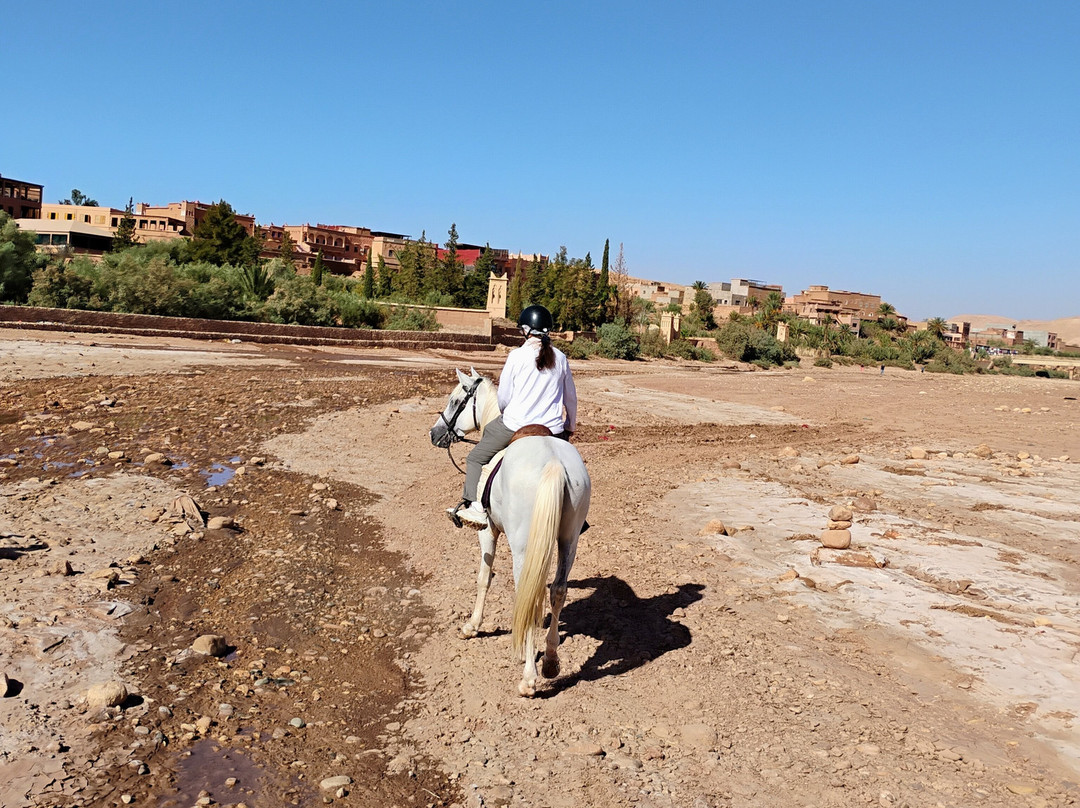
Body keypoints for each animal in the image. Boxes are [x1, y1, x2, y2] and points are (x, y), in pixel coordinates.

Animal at [429, 368, 591, 697]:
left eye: (455, 400)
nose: (434, 433)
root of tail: (554, 463)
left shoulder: (488, 531)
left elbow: (484, 577)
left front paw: (472, 626)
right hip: (569, 540)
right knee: (557, 589)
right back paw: (550, 661)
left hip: (522, 546)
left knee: (527, 592)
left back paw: (528, 676)